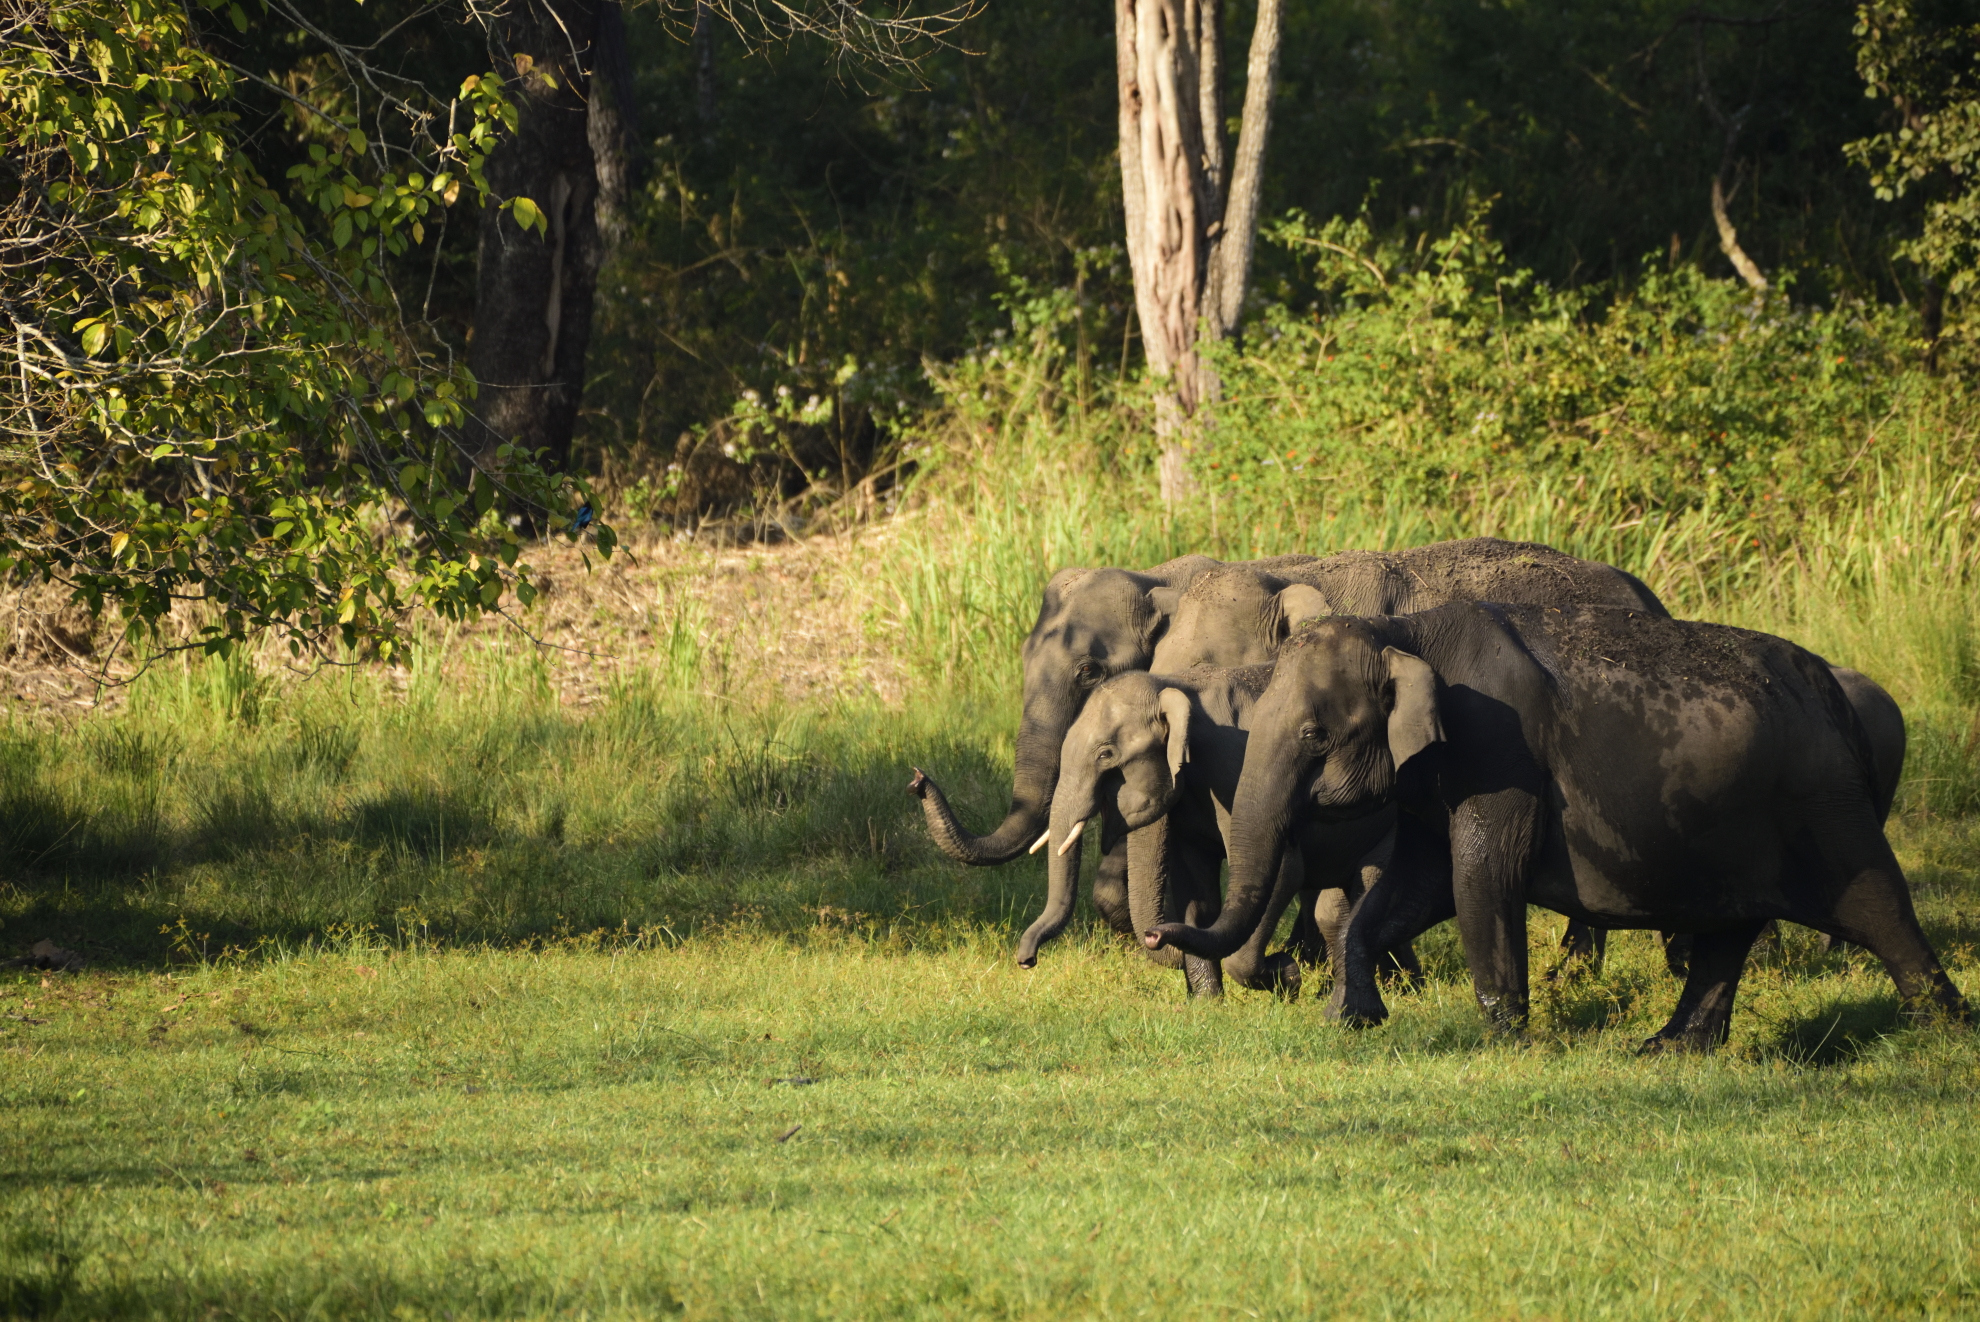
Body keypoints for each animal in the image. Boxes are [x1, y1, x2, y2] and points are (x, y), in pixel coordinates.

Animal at [1016, 667, 1408, 999]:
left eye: (1105, 755)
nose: (1026, 960)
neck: (1174, 686)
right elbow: (1194, 883)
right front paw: (1208, 1003)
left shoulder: (1234, 766)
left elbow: (1283, 868)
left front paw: (1288, 976)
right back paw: (1399, 987)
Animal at [1144, 603, 1967, 1051]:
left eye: (1316, 735)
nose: (1155, 935)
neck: (1403, 630)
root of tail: (1839, 696)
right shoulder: (1435, 774)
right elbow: (1412, 890)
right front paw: (1349, 1019)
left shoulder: (1500, 750)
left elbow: (1481, 876)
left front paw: (1502, 1039)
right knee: (1728, 933)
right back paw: (1665, 1052)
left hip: (1824, 801)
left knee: (1877, 905)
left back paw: (1945, 1034)